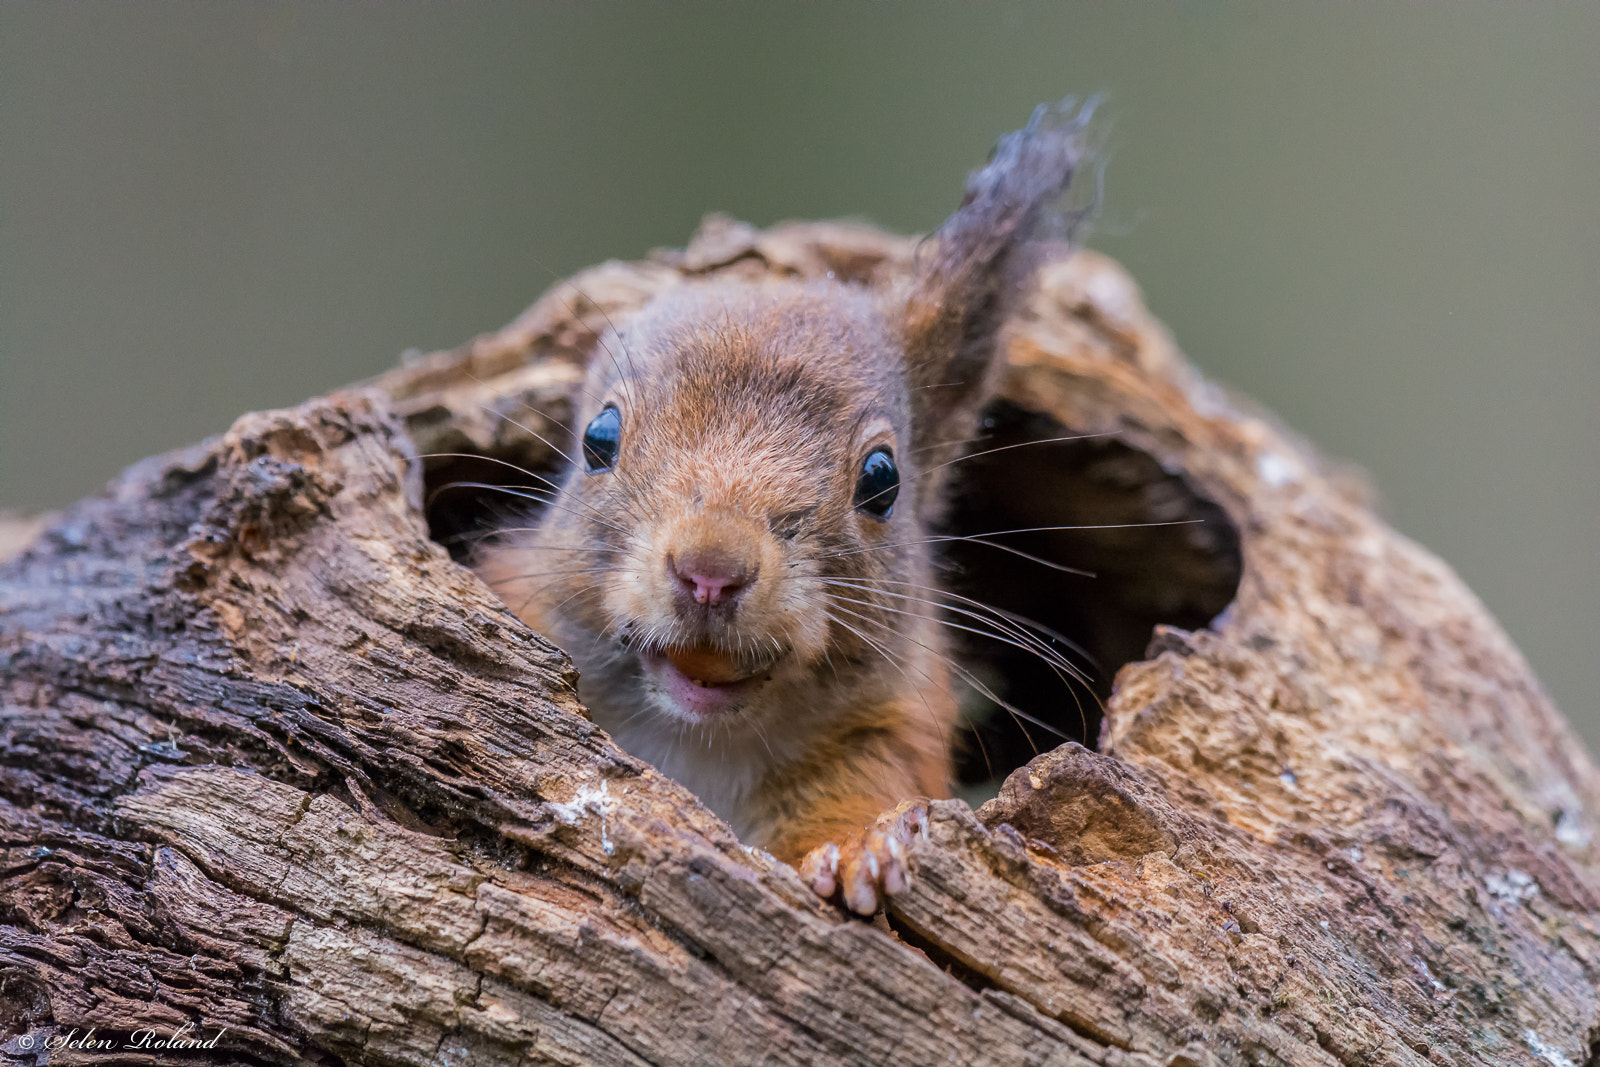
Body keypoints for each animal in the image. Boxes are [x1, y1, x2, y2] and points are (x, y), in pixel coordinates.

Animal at [477, 102, 1094, 914]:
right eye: (598, 439)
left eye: (882, 480)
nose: (710, 571)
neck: (698, 741)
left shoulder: (888, 731)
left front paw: (859, 853)